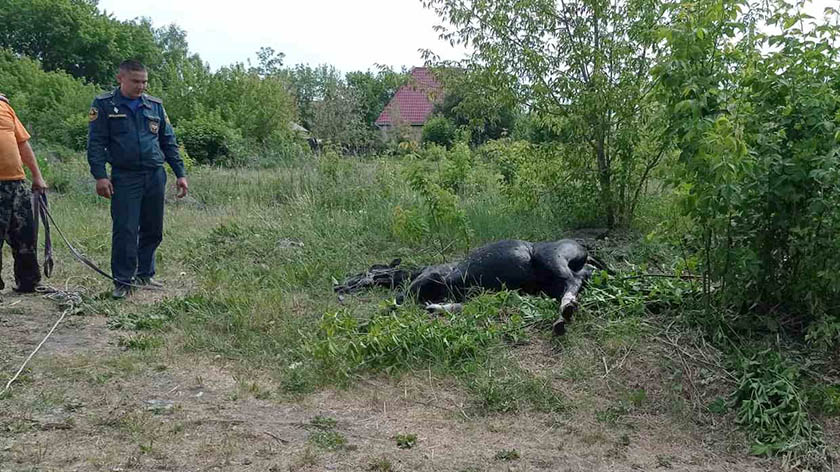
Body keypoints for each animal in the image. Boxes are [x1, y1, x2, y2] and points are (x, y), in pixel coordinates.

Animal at [334, 240, 604, 336]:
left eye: (363, 272)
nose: (339, 288)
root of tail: (584, 249)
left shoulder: (430, 277)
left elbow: (397, 302)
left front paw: (363, 324)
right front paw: (435, 308)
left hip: (551, 259)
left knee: (572, 282)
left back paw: (565, 311)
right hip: (553, 279)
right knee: (581, 278)